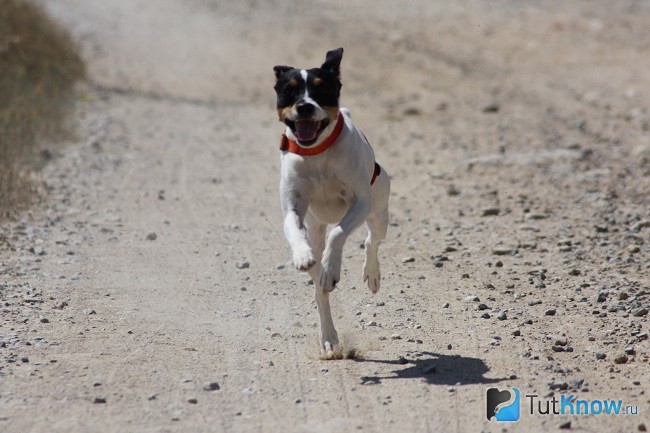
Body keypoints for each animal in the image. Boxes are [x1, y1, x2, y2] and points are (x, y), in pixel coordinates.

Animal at [270, 49, 388, 356]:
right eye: (289, 91)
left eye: (321, 90)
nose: (304, 106)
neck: (317, 153)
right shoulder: (293, 209)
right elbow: (297, 233)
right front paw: (305, 257)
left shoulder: (359, 203)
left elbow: (339, 233)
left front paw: (332, 266)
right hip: (316, 226)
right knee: (320, 291)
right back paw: (329, 336)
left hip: (378, 211)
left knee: (372, 240)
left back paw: (370, 274)